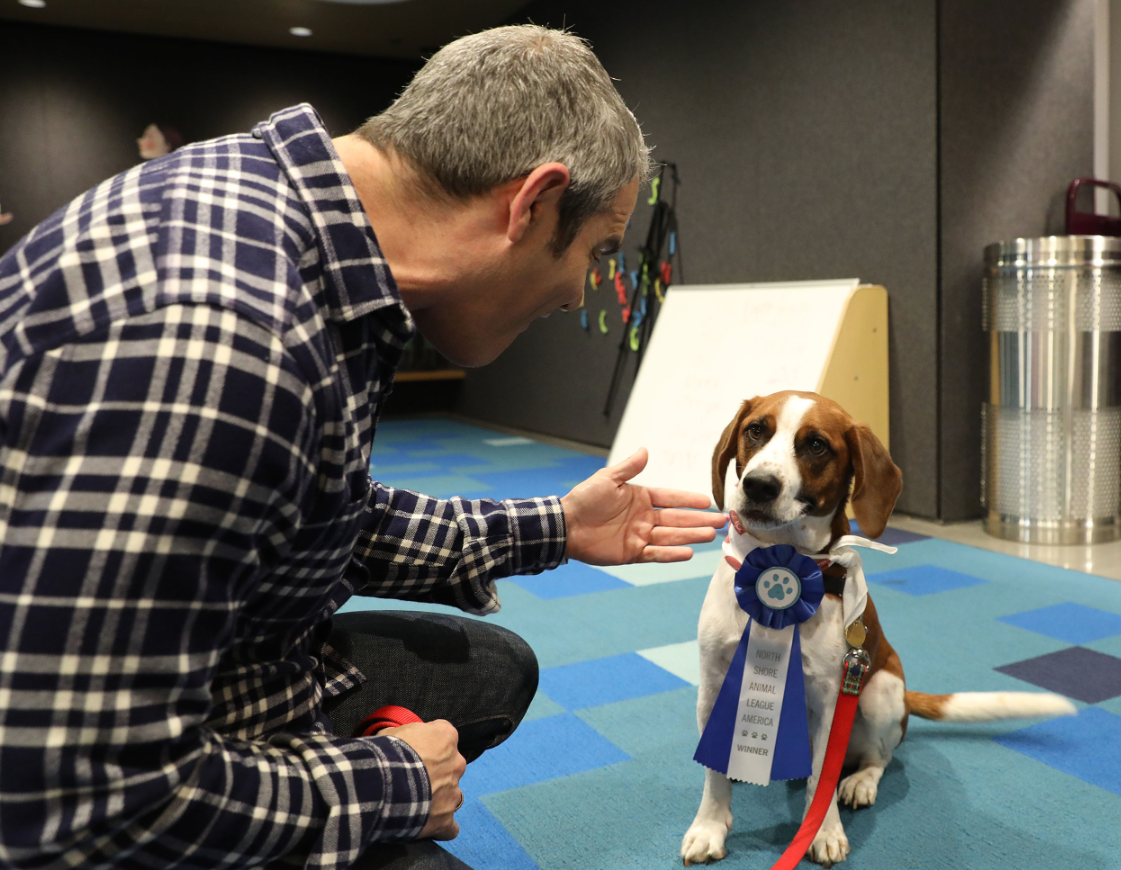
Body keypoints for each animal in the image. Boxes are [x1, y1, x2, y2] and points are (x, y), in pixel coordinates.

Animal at [681, 392, 1076, 861]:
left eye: (817, 445)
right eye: (755, 430)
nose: (759, 485)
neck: (780, 559)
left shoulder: (831, 701)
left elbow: (822, 775)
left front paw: (822, 831)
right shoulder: (713, 687)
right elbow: (712, 773)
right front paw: (709, 826)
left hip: (877, 692)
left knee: (878, 758)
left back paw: (860, 783)